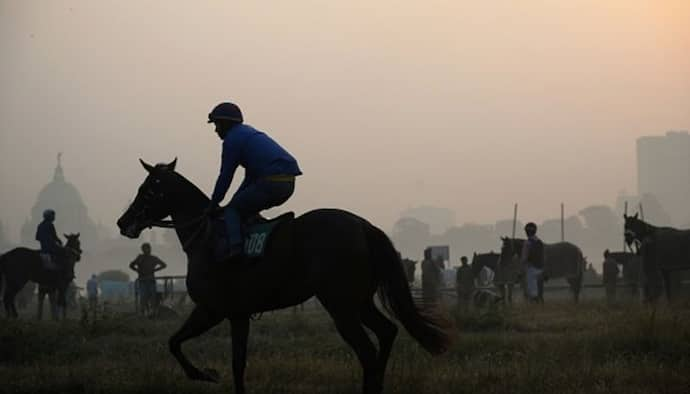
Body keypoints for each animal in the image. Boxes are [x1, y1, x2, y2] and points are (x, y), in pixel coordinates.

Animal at [115, 159, 448, 394]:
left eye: (147, 189)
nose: (123, 222)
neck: (206, 238)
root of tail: (363, 226)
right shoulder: (237, 315)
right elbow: (236, 363)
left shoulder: (212, 310)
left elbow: (175, 343)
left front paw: (204, 373)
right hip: (359, 301)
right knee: (387, 332)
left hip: (340, 305)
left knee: (367, 352)